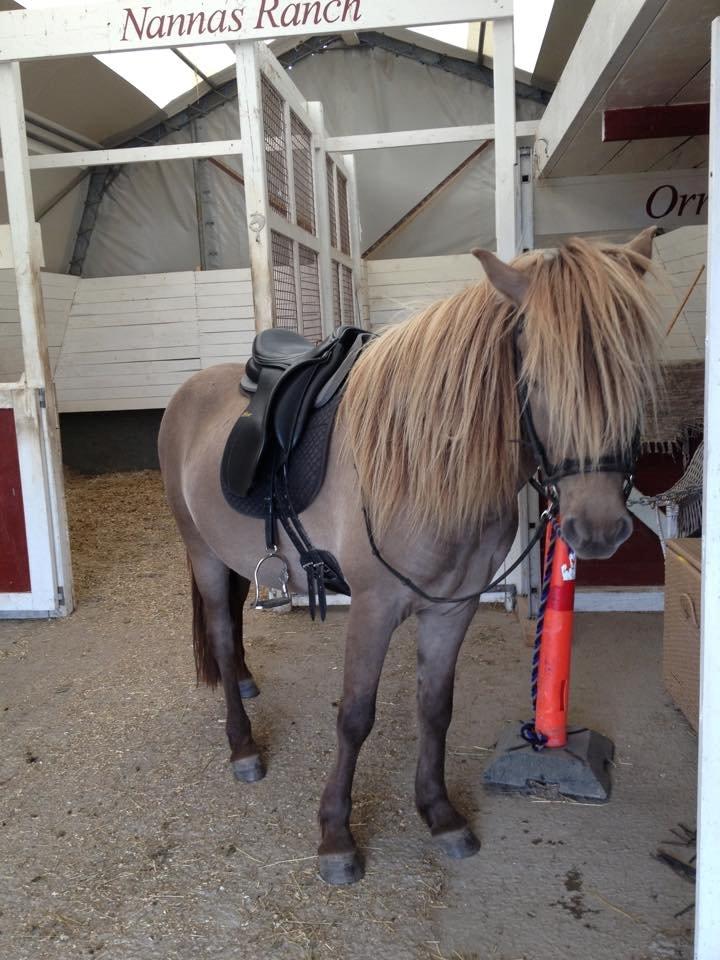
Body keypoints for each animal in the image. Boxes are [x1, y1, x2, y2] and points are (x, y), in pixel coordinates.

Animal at [158, 231, 664, 884]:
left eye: (635, 374)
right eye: (535, 377)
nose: (598, 527)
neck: (424, 465)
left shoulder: (452, 610)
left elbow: (435, 708)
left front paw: (439, 812)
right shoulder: (372, 609)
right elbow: (355, 715)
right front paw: (336, 835)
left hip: (233, 554)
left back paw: (244, 683)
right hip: (201, 552)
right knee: (221, 634)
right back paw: (243, 746)